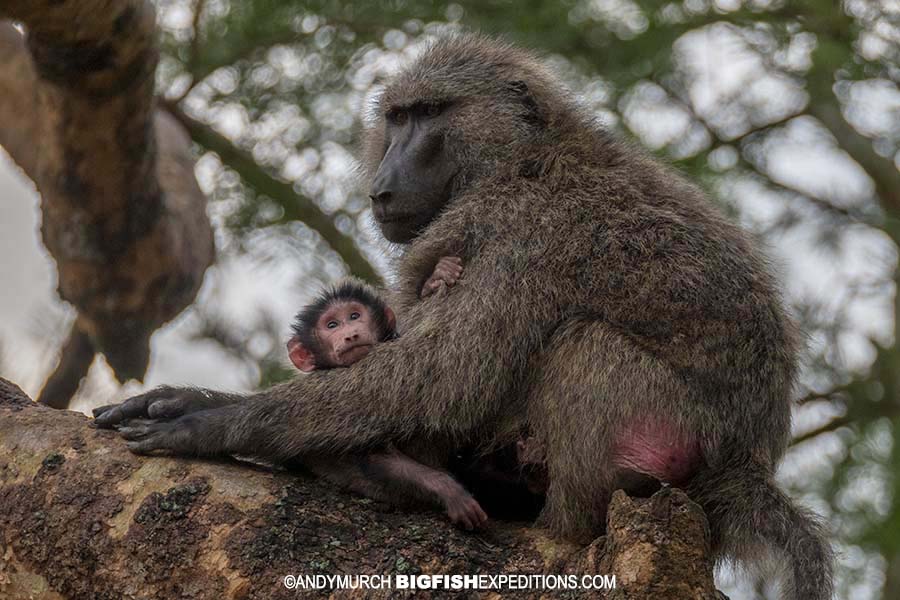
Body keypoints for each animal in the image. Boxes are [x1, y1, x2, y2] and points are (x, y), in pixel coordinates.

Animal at [285, 276, 487, 530]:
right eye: (331, 325)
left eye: (354, 316)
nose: (350, 334)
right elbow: (373, 458)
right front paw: (447, 489)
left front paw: (436, 279)